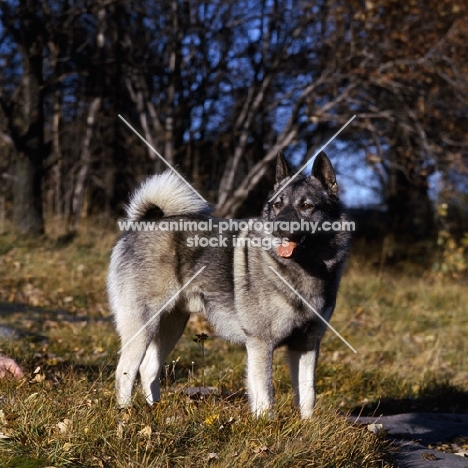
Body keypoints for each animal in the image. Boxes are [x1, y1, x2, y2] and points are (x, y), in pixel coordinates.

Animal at [109, 152, 352, 418]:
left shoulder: (307, 345)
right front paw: (266, 423)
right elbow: (265, 392)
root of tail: (144, 222)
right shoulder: (261, 343)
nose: (278, 227)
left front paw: (306, 425)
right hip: (143, 325)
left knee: (149, 369)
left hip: (171, 325)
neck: (304, 268)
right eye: (277, 205)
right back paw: (125, 413)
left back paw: (156, 410)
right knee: (125, 371)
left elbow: (308, 394)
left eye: (306, 206)